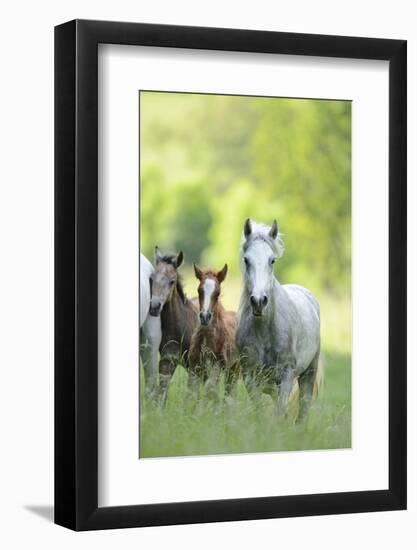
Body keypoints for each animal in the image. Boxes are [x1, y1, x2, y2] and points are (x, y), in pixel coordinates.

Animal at [236, 218, 320, 420]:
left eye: (272, 260)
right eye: (246, 260)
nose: (259, 302)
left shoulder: (286, 375)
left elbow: (281, 413)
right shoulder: (250, 376)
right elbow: (260, 410)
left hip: (308, 373)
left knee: (303, 408)